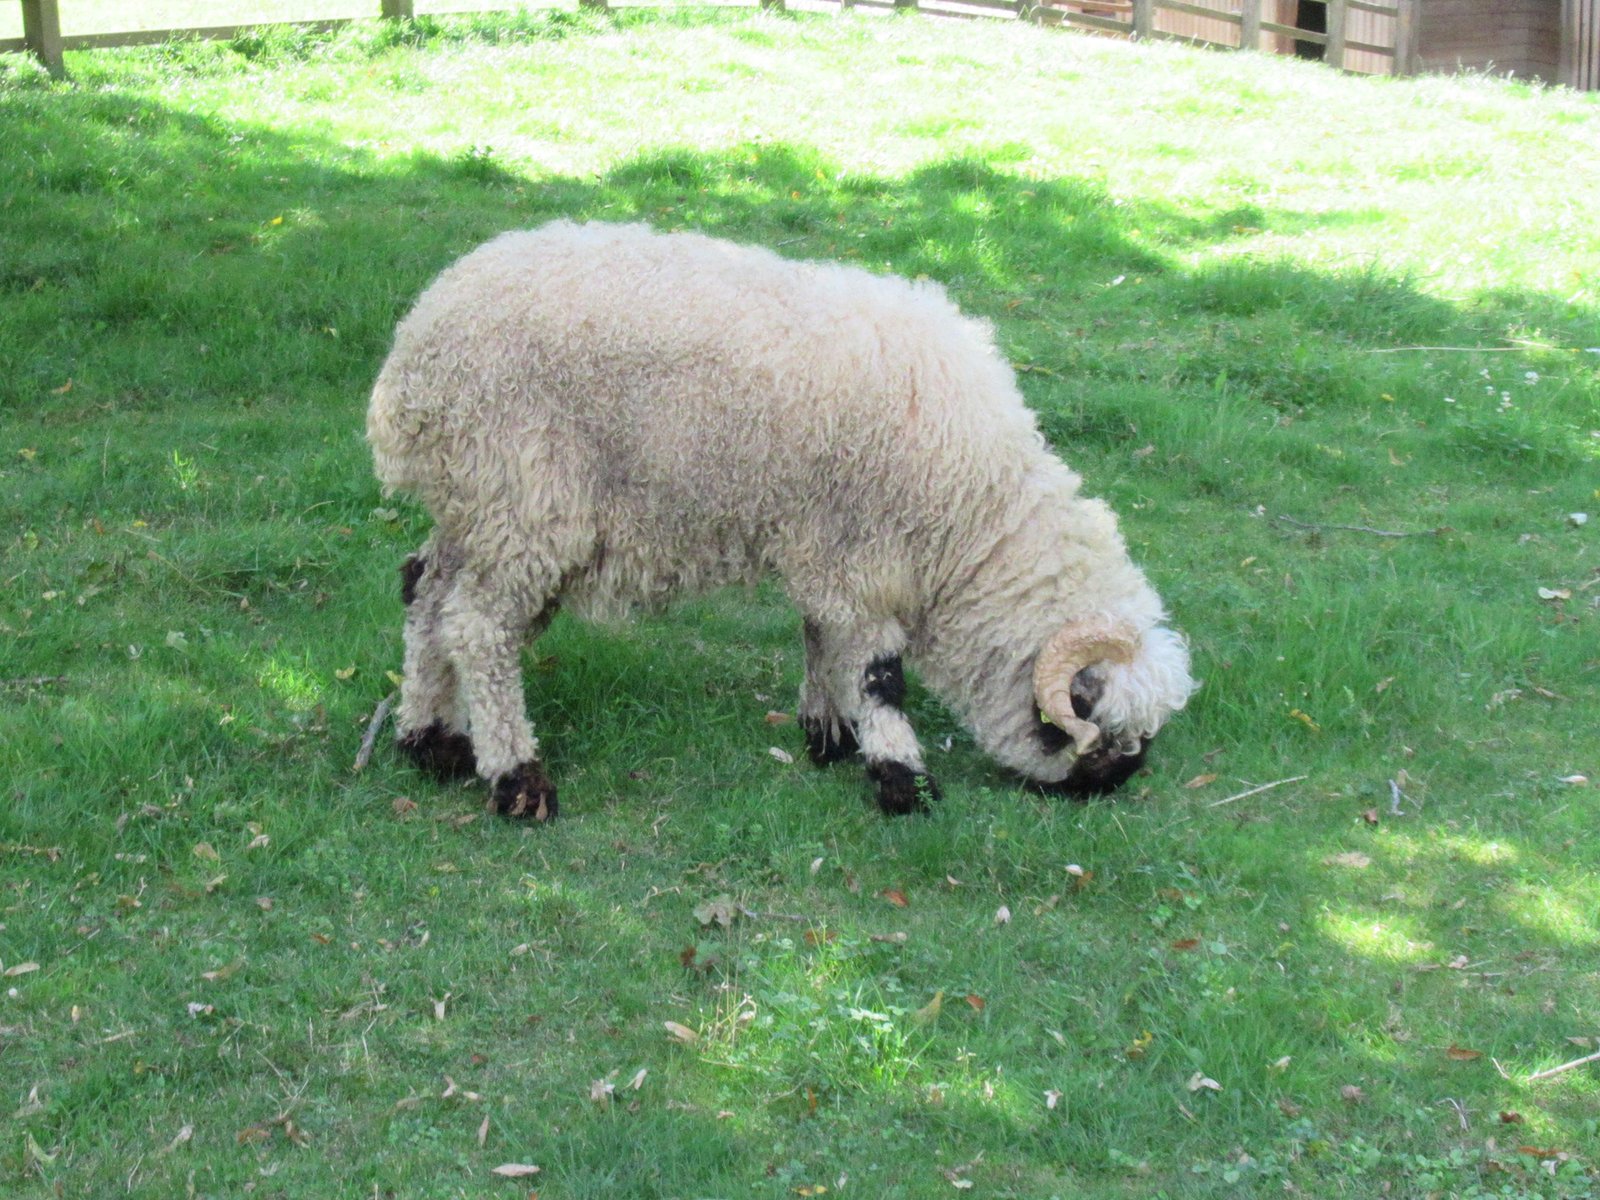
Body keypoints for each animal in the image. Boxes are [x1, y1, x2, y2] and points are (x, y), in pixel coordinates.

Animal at [367, 220, 1196, 820]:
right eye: (1095, 725)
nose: (1111, 788)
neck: (973, 517)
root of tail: (413, 355)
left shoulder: (825, 543)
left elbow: (821, 635)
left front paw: (827, 732)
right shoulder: (864, 552)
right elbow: (878, 671)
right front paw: (903, 778)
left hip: (477, 501)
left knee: (425, 593)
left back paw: (430, 741)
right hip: (526, 496)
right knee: (480, 628)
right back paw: (516, 776)